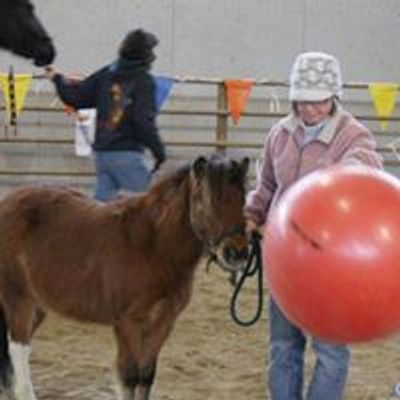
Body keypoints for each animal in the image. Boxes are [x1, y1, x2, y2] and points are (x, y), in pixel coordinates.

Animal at [0, 154, 248, 400]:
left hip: (38, 304)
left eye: (244, 199)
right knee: (18, 348)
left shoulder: (164, 322)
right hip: (18, 297)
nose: (237, 253)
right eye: (206, 201)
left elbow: (146, 375)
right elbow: (130, 377)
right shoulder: (127, 324)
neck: (153, 247)